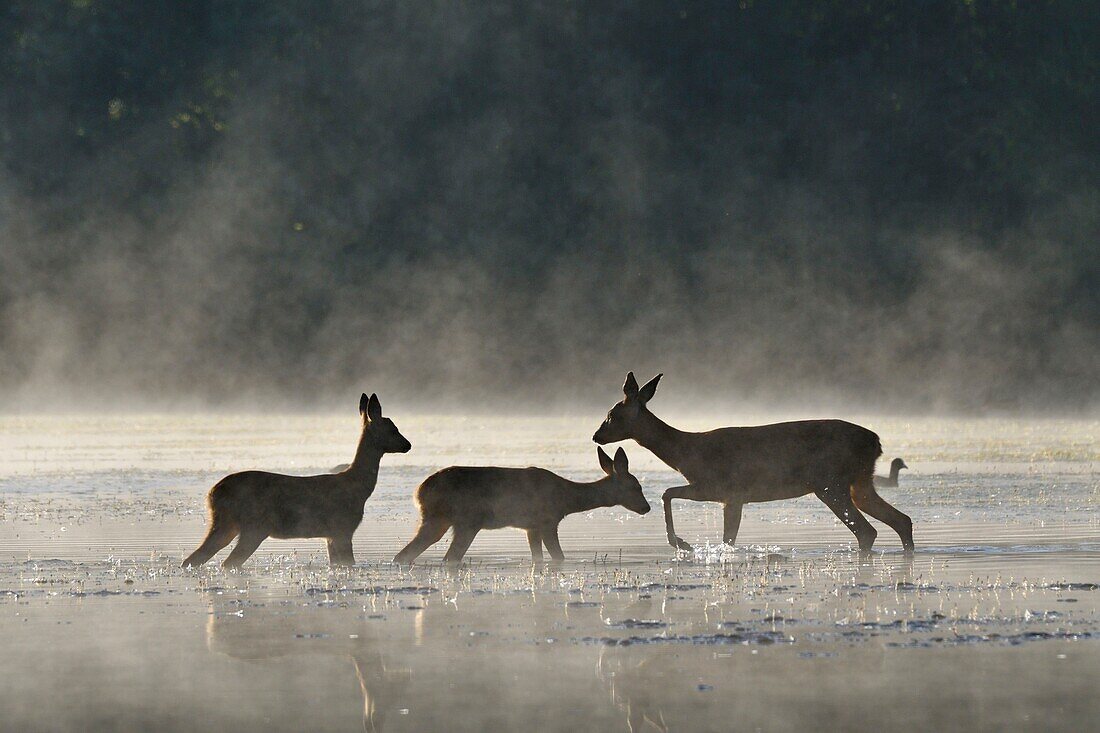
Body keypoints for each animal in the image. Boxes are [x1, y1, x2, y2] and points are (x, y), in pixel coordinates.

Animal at [182, 391, 411, 567]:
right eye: (393, 429)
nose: (408, 445)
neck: (358, 488)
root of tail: (212, 494)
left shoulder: (331, 534)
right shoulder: (342, 527)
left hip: (228, 524)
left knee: (195, 559)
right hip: (253, 525)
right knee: (227, 562)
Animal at [594, 374, 910, 550]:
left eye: (612, 414)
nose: (596, 435)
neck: (687, 453)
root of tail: (875, 441)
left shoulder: (718, 487)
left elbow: (667, 493)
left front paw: (681, 543)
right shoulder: (733, 498)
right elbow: (728, 538)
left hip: (830, 483)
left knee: (867, 531)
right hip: (860, 483)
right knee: (901, 521)